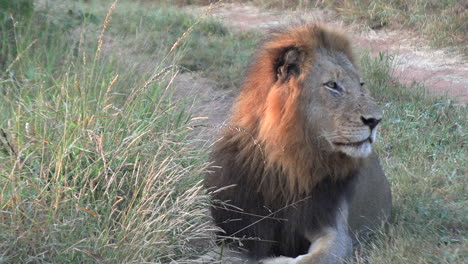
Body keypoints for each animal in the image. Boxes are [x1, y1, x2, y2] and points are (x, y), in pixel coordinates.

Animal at [205, 23, 392, 262]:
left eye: (361, 85)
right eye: (332, 85)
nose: (376, 120)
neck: (286, 166)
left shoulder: (334, 231)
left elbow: (312, 259)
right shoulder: (236, 231)